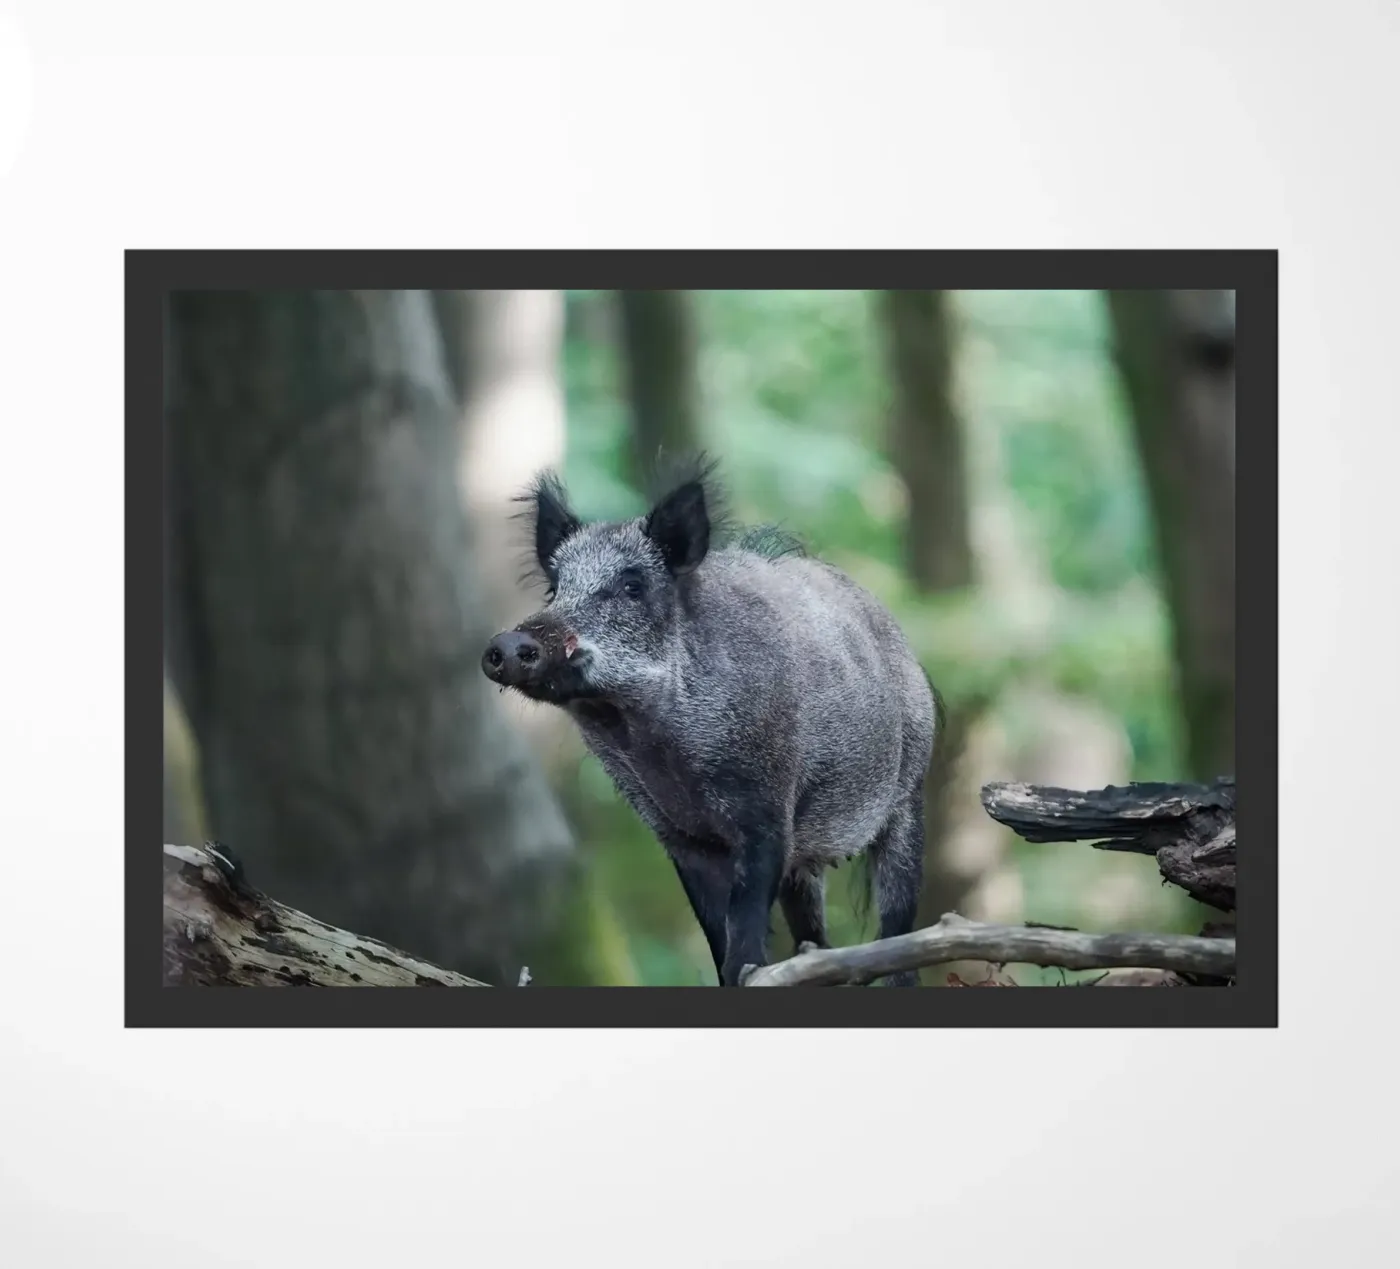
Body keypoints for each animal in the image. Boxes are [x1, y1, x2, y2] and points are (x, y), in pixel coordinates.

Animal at [481, 459, 939, 986]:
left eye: (632, 586)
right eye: (554, 589)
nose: (508, 644)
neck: (656, 743)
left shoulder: (768, 807)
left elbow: (746, 909)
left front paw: (748, 971)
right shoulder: (677, 834)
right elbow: (712, 924)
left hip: (908, 795)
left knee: (898, 919)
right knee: (813, 931)